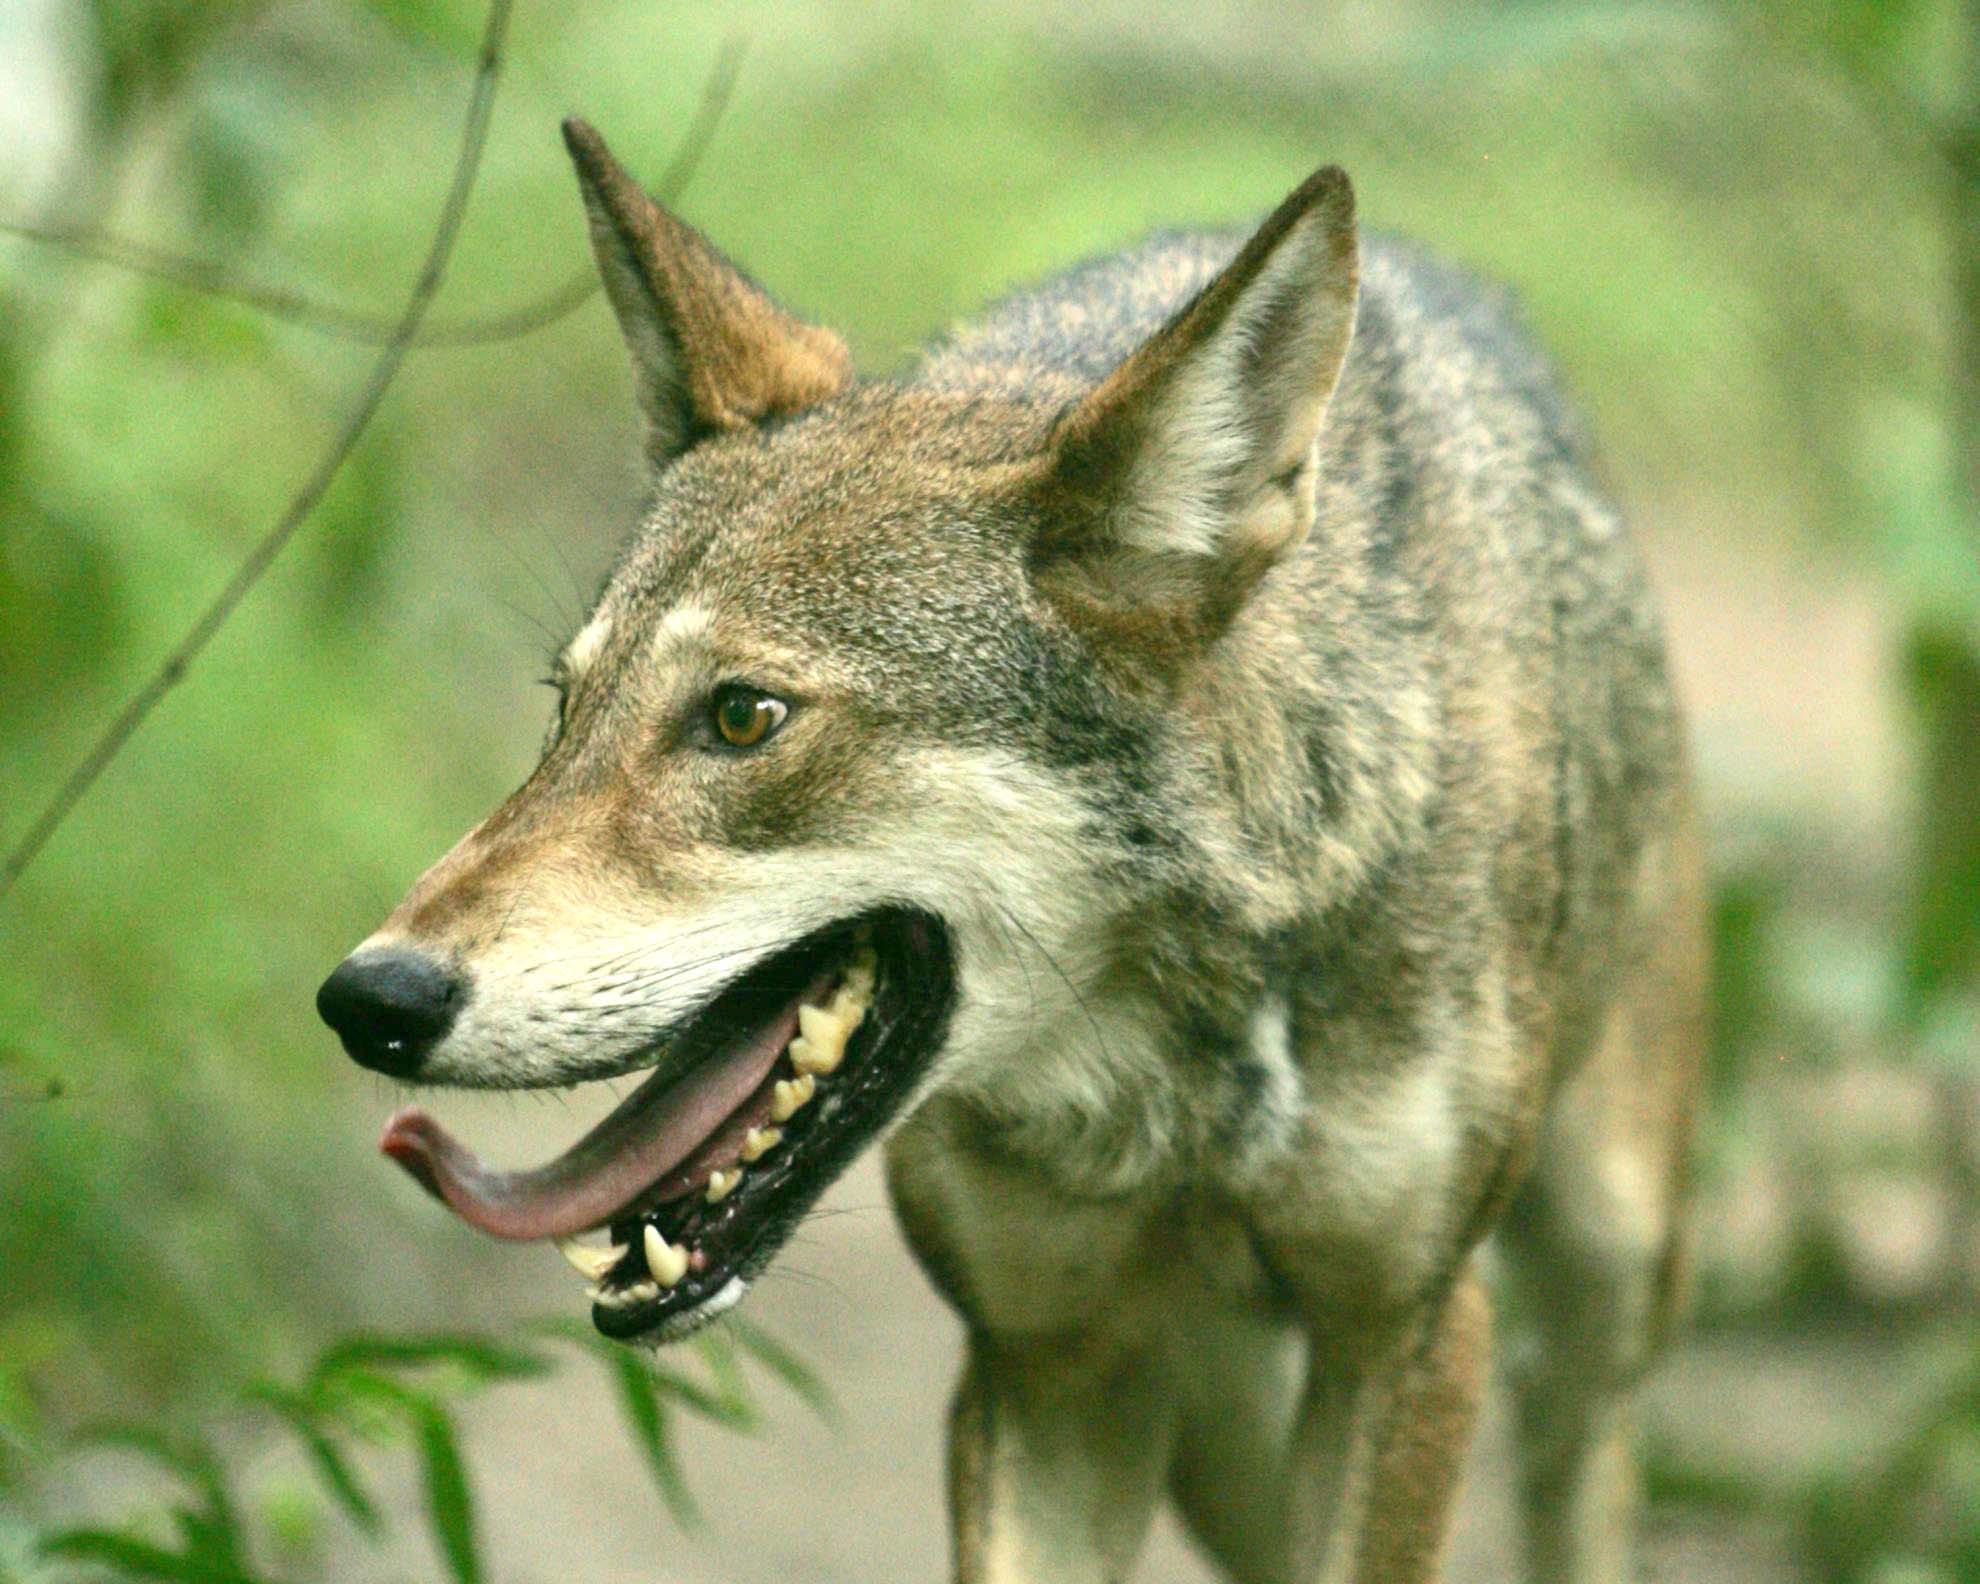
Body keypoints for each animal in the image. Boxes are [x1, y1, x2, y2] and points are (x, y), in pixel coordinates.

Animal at [316, 115, 1705, 1584]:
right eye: (566, 710)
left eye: (744, 718)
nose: (367, 998)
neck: (1182, 1064)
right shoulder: (1044, 1365)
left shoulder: (1406, 1337)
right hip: (1217, 1421)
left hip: (1600, 1282)